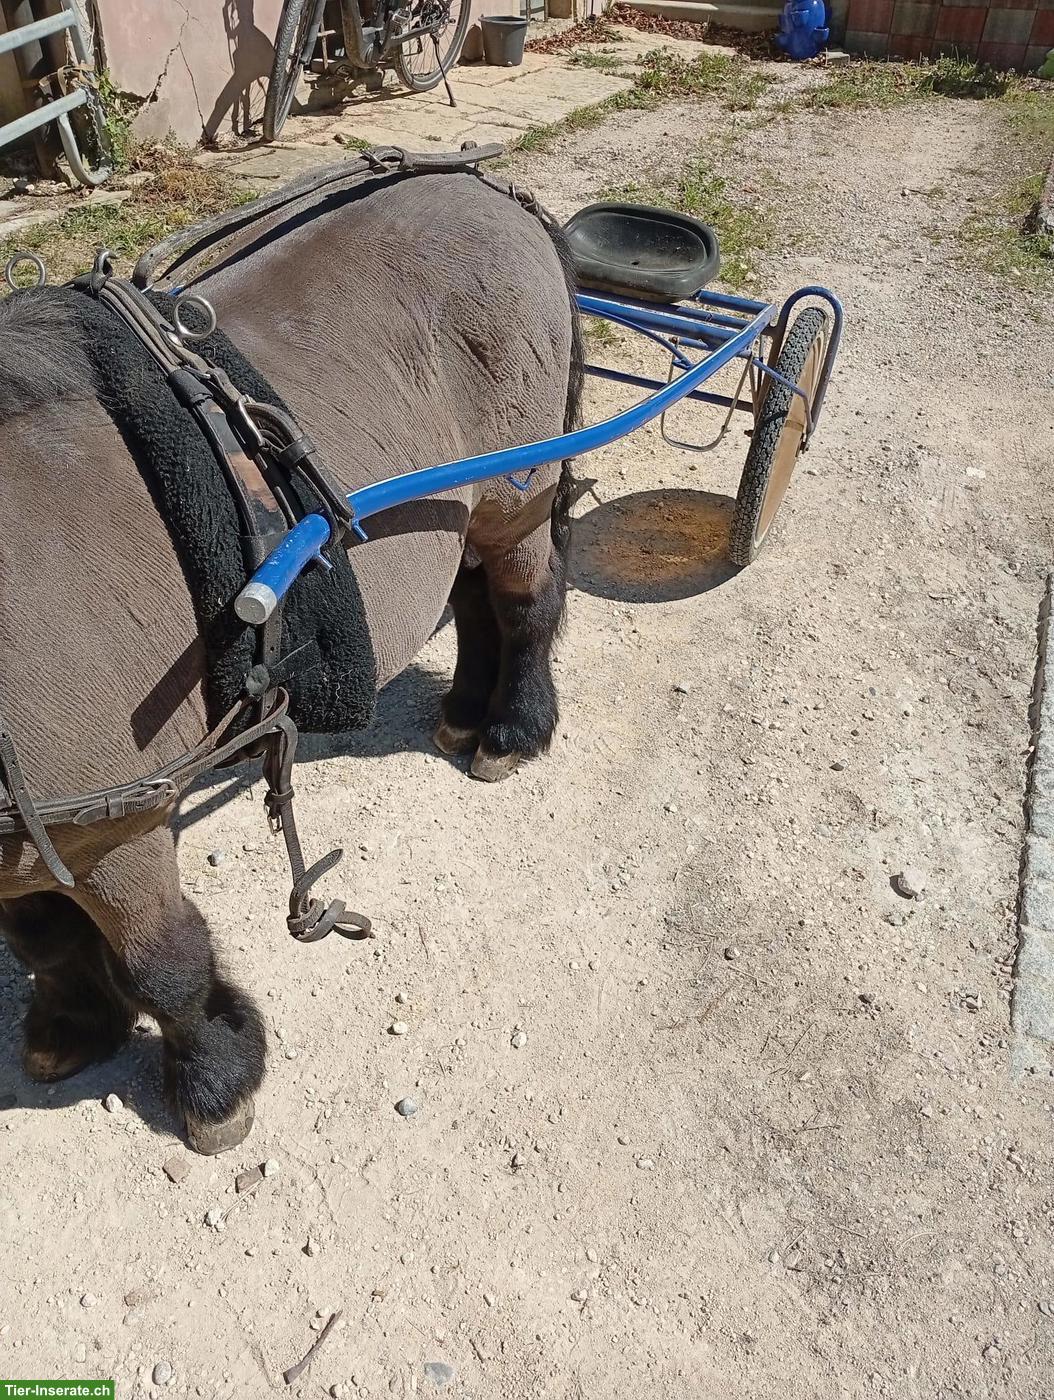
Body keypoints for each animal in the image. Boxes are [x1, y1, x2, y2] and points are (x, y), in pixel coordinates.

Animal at [0, 165, 582, 1153]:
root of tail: (490, 187)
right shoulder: (37, 843)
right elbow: (43, 938)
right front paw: (74, 1025)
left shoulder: (114, 824)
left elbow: (162, 961)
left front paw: (216, 1076)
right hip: (451, 506)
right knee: (468, 597)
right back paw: (464, 713)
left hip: (518, 492)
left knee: (522, 604)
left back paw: (511, 727)